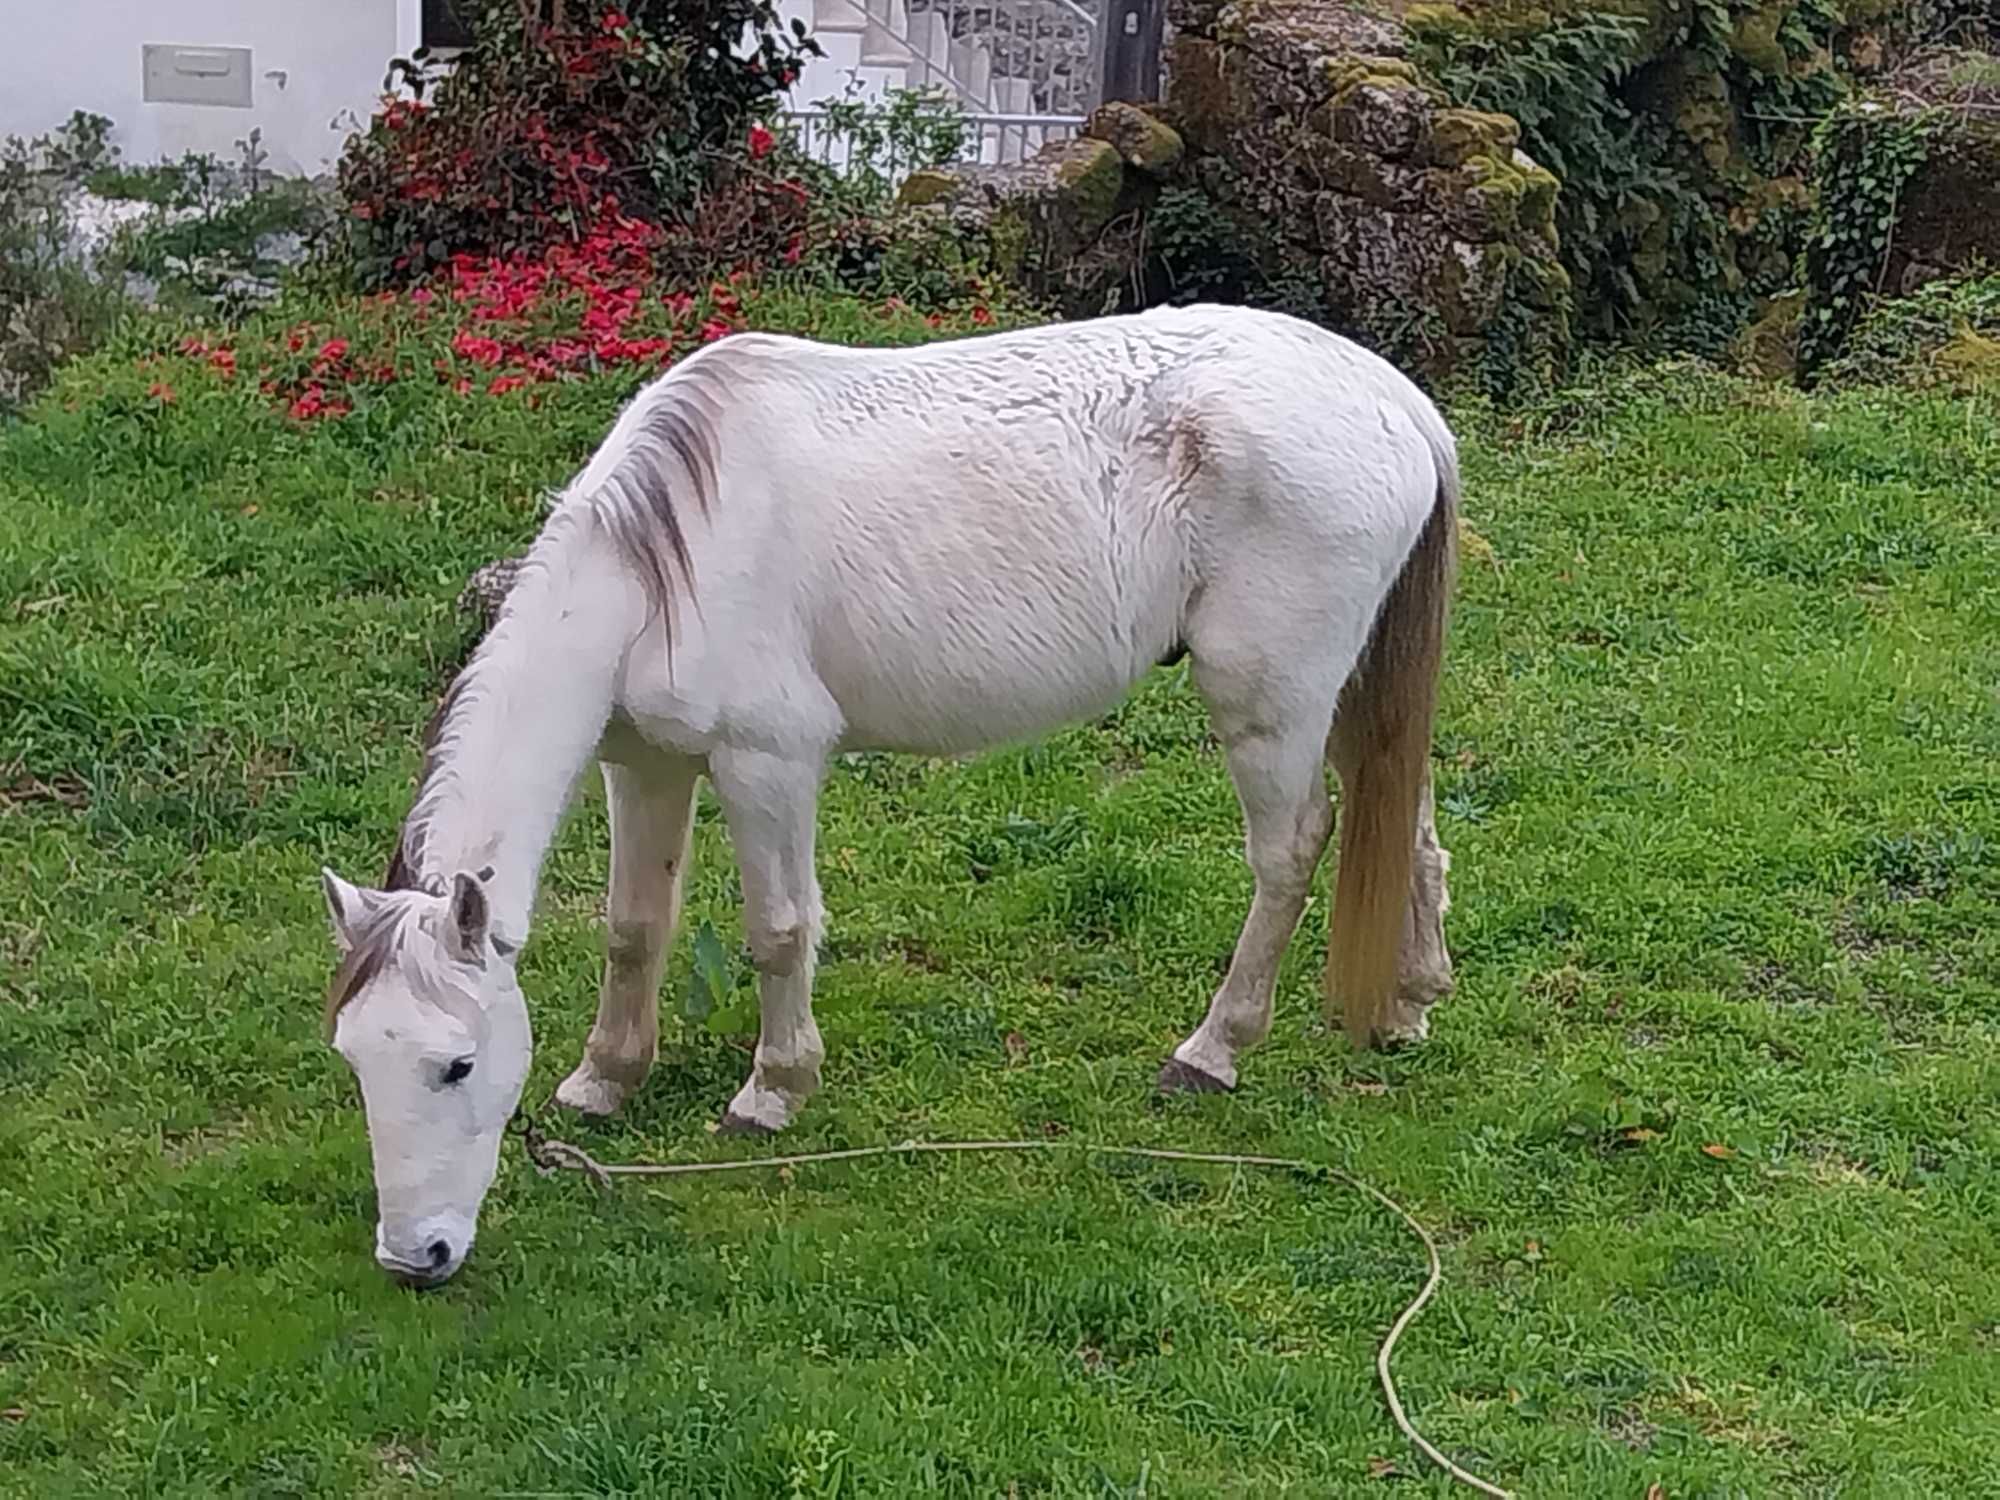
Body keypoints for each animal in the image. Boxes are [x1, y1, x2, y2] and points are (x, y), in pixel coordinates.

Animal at [320, 308, 1464, 1296]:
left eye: (457, 1065)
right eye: (354, 1059)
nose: (412, 1258)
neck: (661, 565)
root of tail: (1397, 401)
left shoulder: (768, 766)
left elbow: (778, 933)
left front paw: (771, 1092)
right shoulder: (644, 766)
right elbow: (633, 929)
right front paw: (604, 1079)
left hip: (1268, 705)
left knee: (1292, 853)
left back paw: (1213, 1050)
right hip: (1350, 688)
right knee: (1401, 814)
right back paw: (1407, 1003)